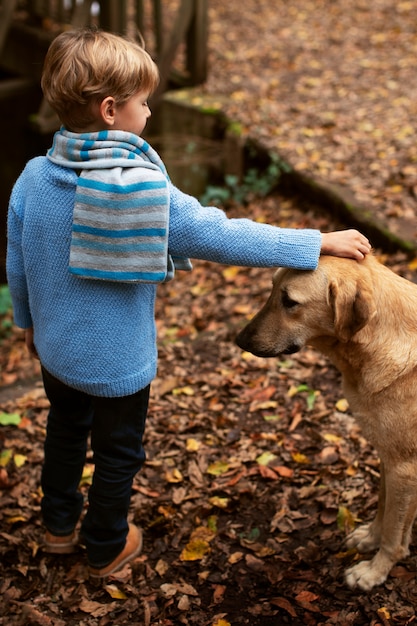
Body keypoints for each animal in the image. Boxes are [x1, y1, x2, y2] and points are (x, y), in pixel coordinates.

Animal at [236, 251, 417, 588]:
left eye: (289, 301)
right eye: (271, 287)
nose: (240, 340)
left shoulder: (404, 469)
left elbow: (393, 533)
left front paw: (375, 571)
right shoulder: (389, 458)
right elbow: (383, 509)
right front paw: (369, 539)